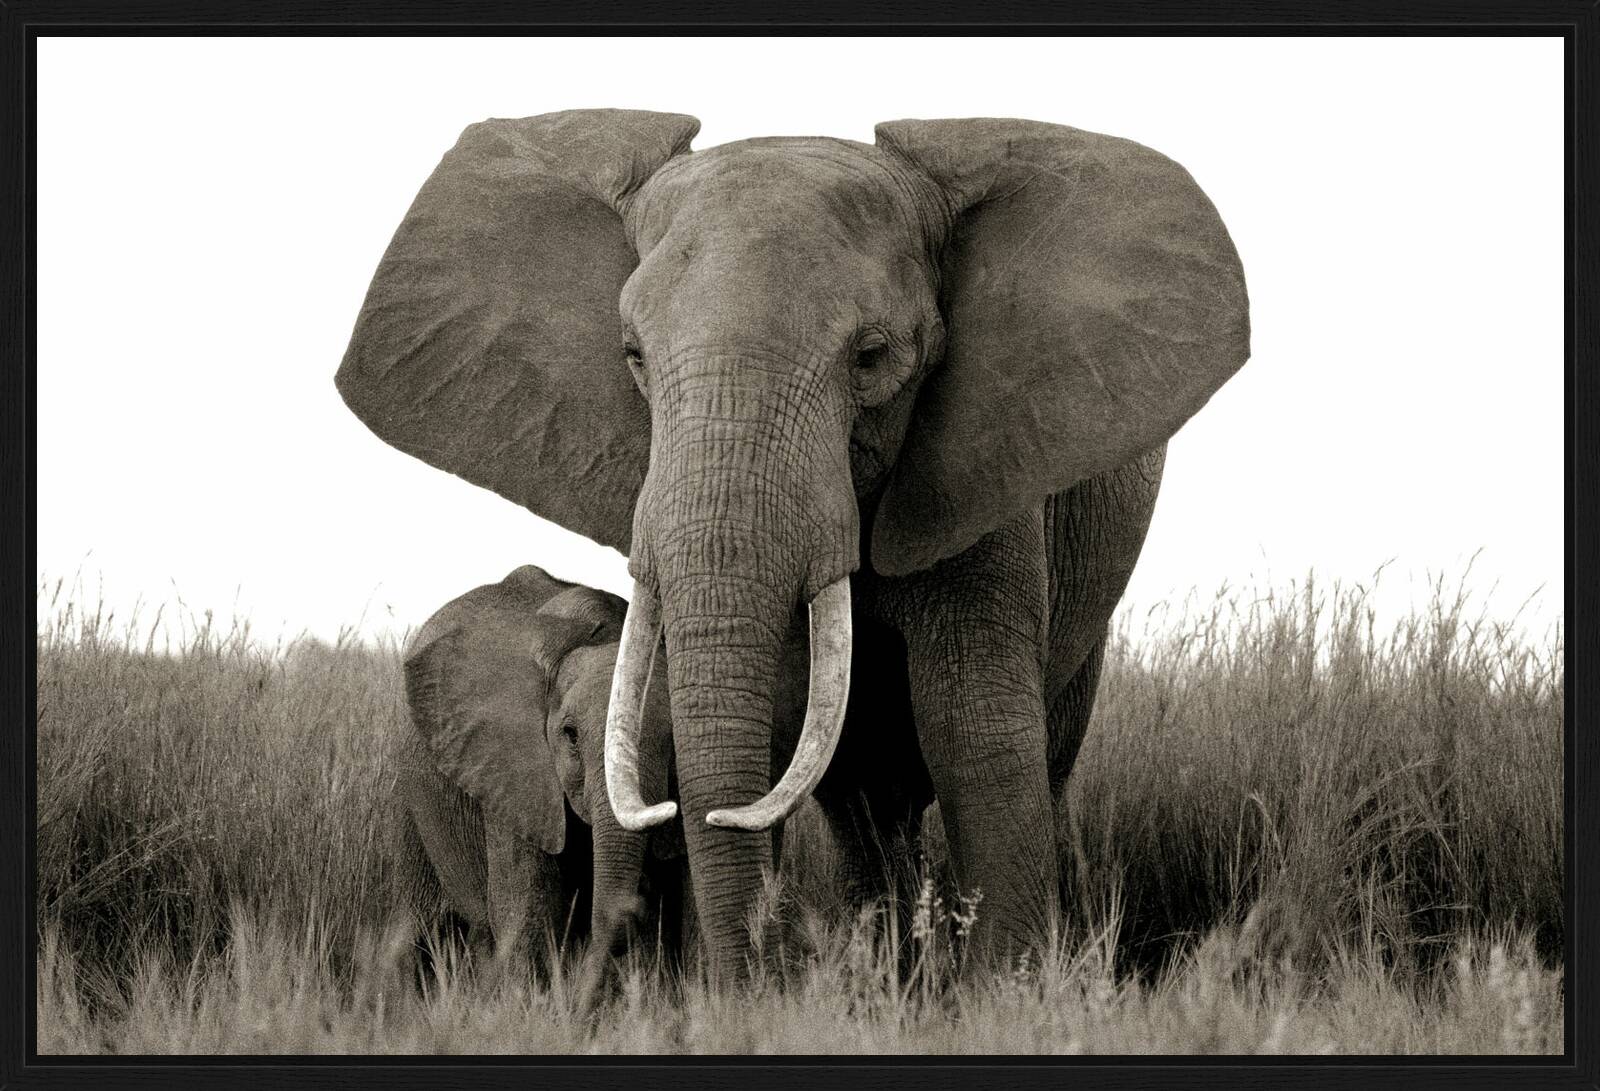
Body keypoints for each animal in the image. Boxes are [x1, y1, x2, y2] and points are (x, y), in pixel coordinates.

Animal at [390, 564, 691, 994]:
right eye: (570, 734)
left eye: (672, 739)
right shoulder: (508, 769)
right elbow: (527, 907)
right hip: (412, 798)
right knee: (420, 927)